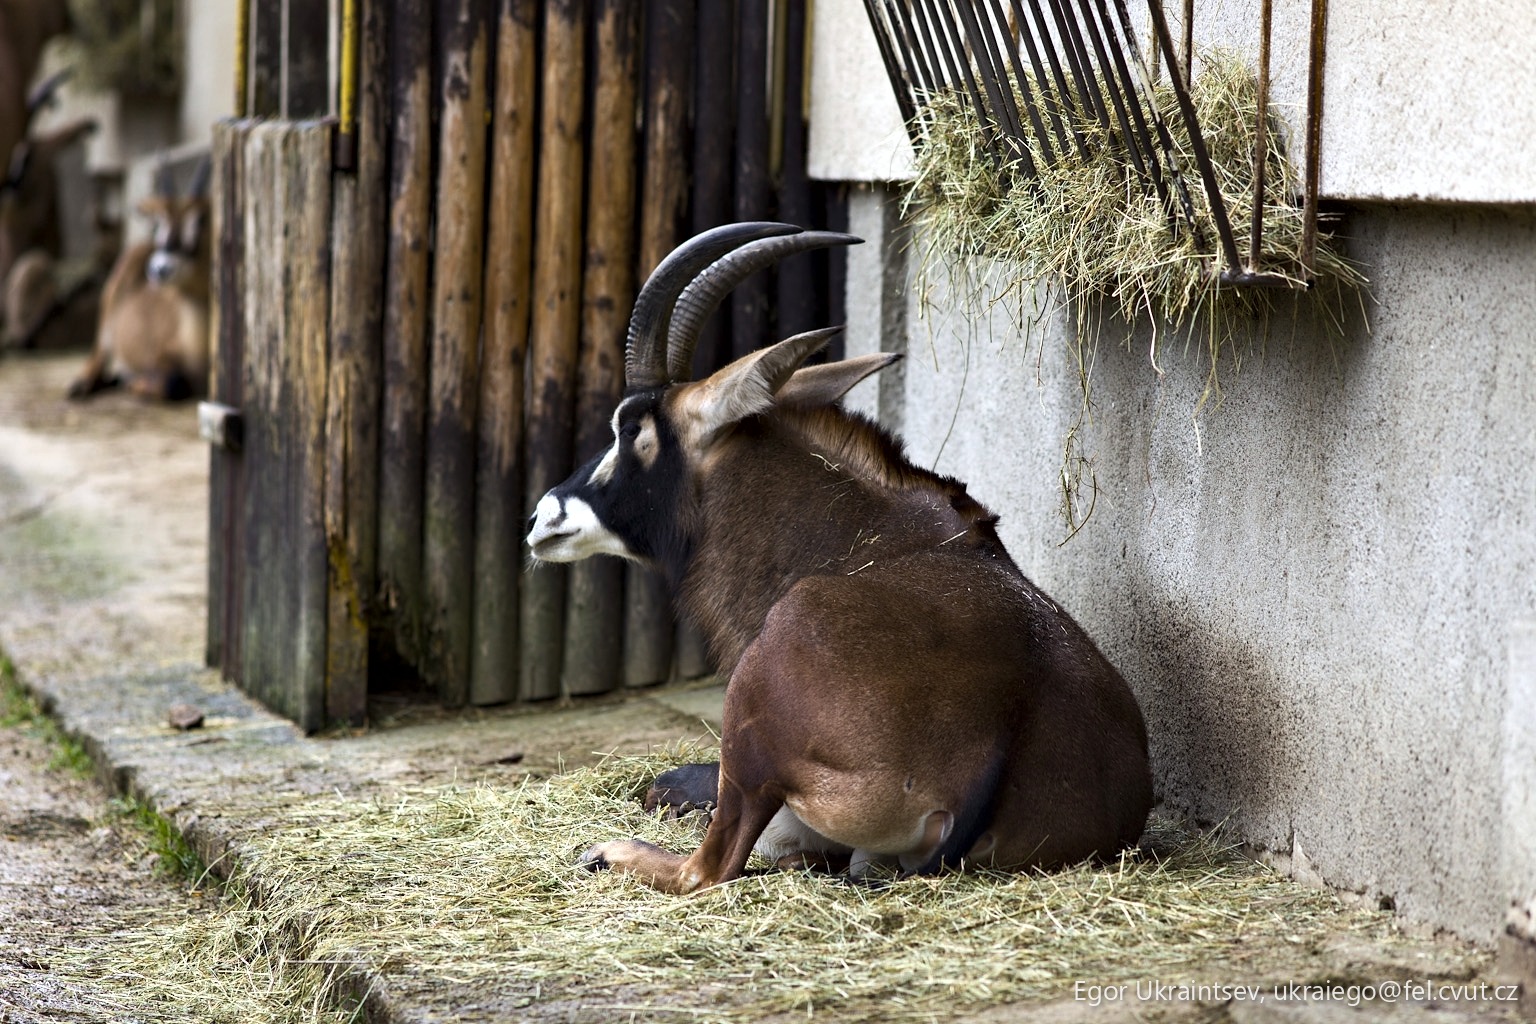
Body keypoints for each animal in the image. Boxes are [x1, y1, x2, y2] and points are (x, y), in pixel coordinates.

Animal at [67, 158, 210, 401]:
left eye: (200, 221)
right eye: (159, 222)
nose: (158, 268)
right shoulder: (160, 357)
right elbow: (175, 383)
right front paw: (136, 385)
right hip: (106, 328)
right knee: (98, 357)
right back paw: (83, 384)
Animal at [526, 222, 1153, 893]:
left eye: (631, 428)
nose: (542, 518)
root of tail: (998, 737)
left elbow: (668, 789)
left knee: (711, 867)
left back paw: (609, 852)